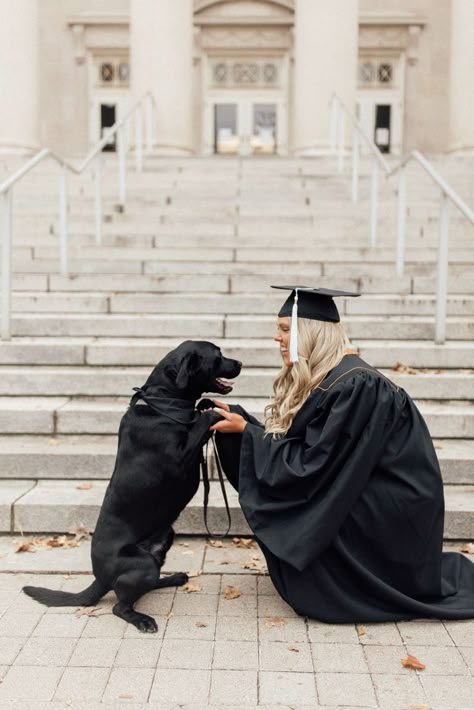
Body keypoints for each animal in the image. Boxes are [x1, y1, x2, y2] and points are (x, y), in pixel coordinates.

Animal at [22, 344, 241, 636]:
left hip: (163, 541)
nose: (240, 363)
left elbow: (201, 409)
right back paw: (143, 619)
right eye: (217, 355)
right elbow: (203, 420)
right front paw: (214, 412)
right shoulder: (180, 456)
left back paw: (174, 578)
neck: (165, 401)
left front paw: (206, 404)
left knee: (147, 585)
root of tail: (100, 578)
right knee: (120, 607)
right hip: (142, 565)